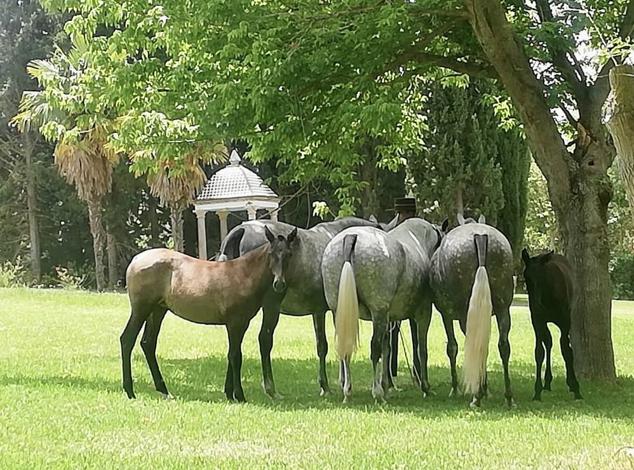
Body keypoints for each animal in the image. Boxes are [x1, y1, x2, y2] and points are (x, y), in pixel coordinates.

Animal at [121, 226, 296, 402]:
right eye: (271, 254)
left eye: (289, 254)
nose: (279, 284)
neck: (243, 275)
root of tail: (134, 261)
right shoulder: (235, 322)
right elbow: (236, 356)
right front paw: (239, 396)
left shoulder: (240, 323)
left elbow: (231, 354)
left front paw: (229, 393)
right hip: (141, 308)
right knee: (127, 339)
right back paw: (130, 391)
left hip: (157, 310)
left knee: (148, 343)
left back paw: (163, 390)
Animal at [218, 217, 376, 396]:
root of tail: (242, 229)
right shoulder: (330, 310)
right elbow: (332, 344)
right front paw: (331, 385)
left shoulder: (320, 311)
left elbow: (326, 344)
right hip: (269, 309)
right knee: (263, 340)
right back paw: (269, 388)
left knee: (235, 345)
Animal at [320, 218, 440, 402]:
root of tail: (351, 236)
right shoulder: (423, 313)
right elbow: (422, 350)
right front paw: (425, 387)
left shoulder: (388, 319)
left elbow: (387, 349)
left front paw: (386, 385)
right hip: (378, 313)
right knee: (374, 349)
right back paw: (376, 393)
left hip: (339, 313)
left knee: (346, 348)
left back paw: (348, 390)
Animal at [430, 218, 512, 408]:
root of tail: (480, 237)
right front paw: (485, 388)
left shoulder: (447, 314)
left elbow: (452, 347)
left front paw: (455, 389)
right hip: (503, 308)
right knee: (503, 346)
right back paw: (508, 397)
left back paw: (476, 397)